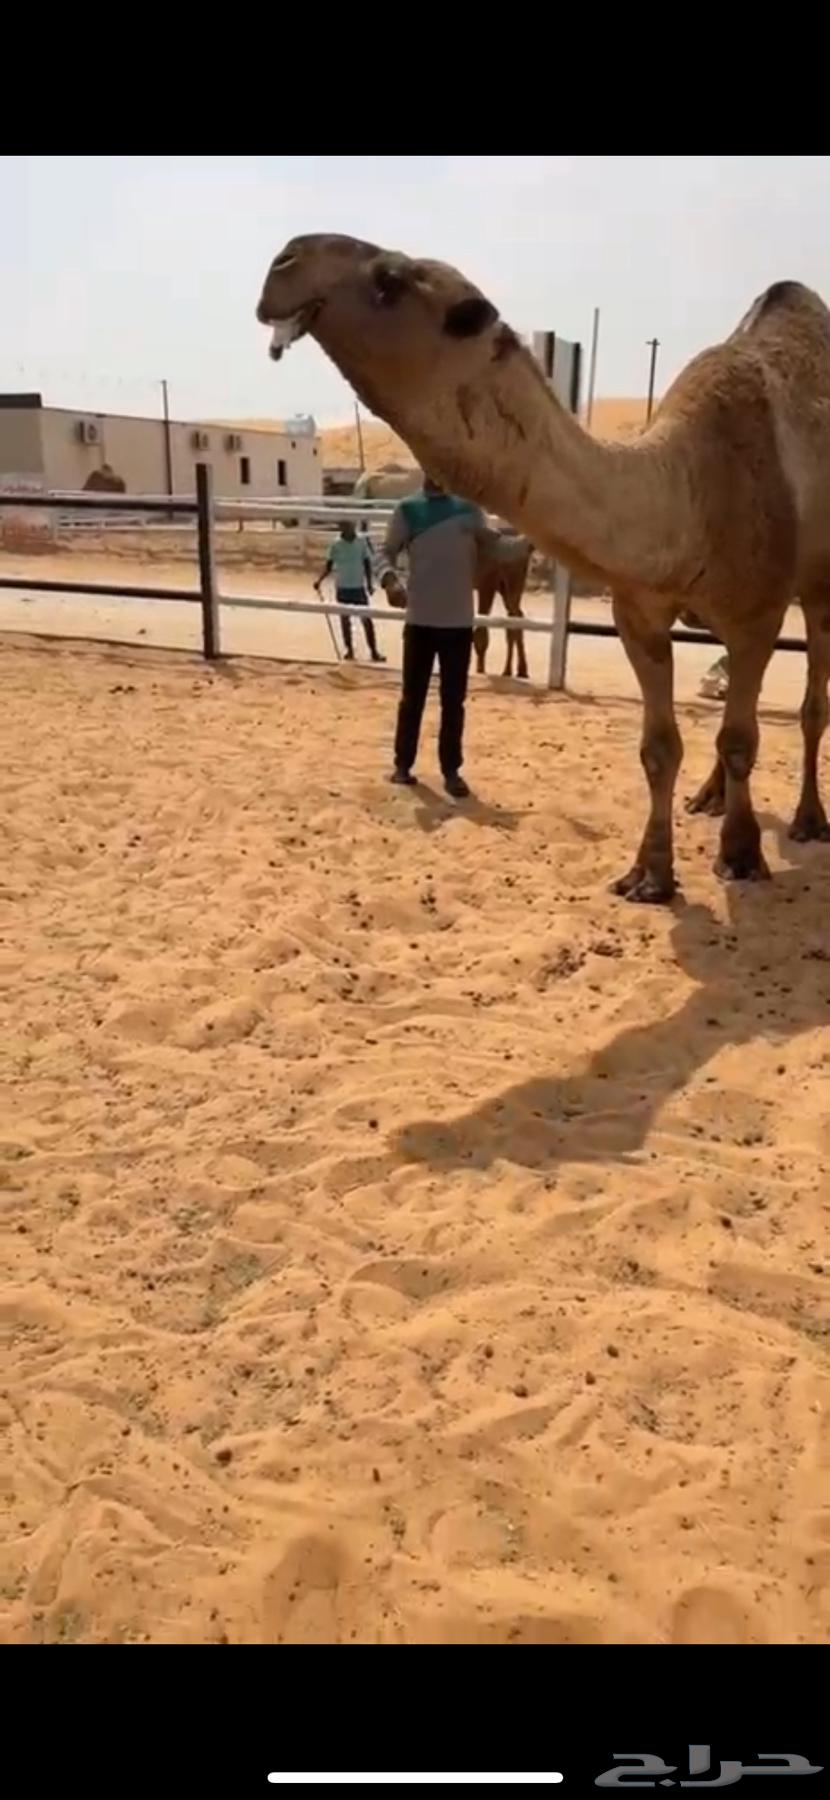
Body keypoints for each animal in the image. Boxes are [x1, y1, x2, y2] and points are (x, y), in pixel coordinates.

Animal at [355, 462, 534, 678]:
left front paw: (480, 671)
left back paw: (516, 671)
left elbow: (480, 629)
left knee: (514, 616)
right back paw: (512, 670)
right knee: (514, 616)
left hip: (513, 577)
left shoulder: (489, 578)